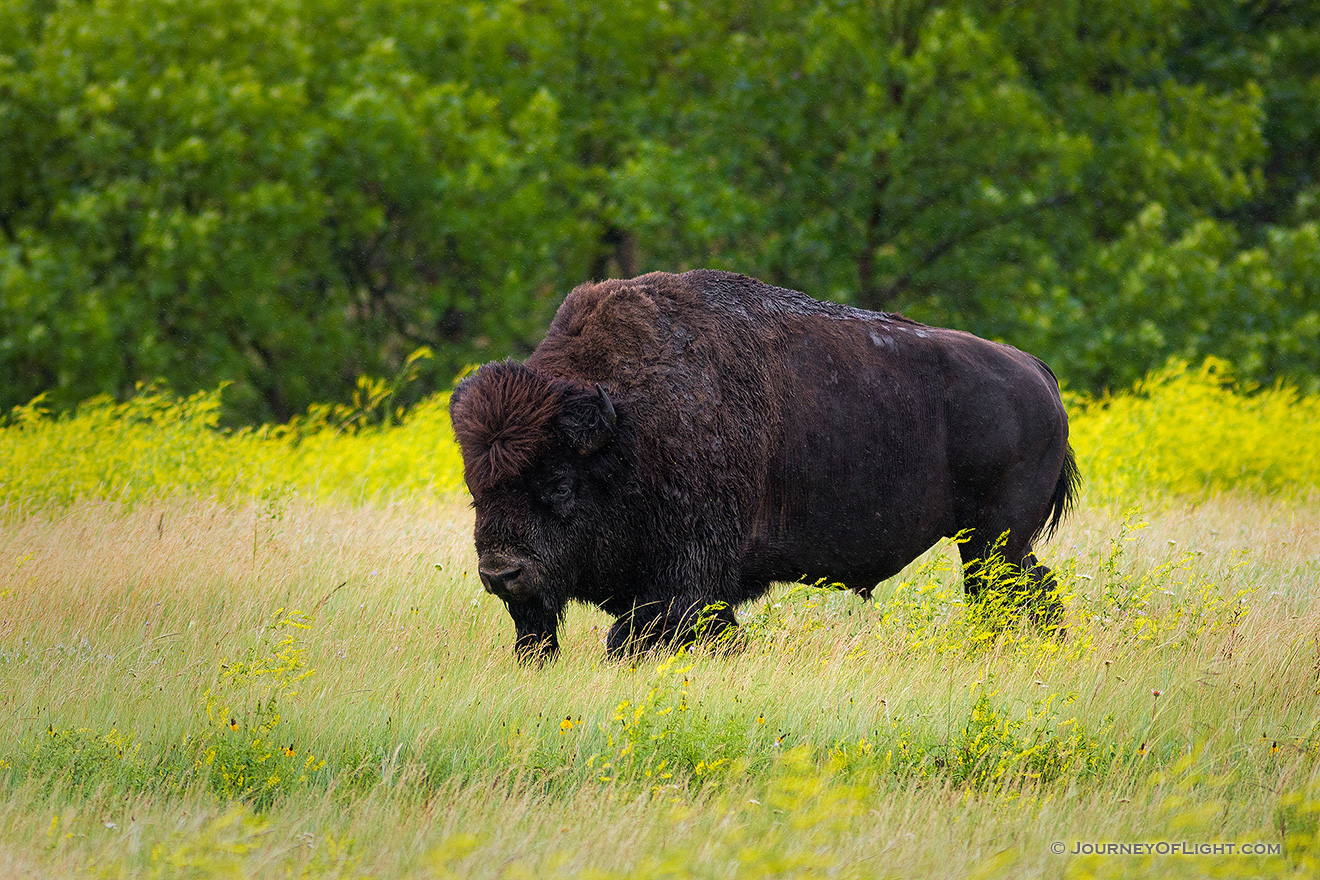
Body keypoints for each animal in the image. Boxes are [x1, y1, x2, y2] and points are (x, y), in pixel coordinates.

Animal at [448, 269, 1077, 659]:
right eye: (476, 489)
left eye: (558, 484)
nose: (501, 573)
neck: (625, 427)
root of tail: (1040, 375)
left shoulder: (688, 575)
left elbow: (644, 632)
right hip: (996, 543)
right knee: (1031, 591)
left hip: (993, 540)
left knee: (1008, 594)